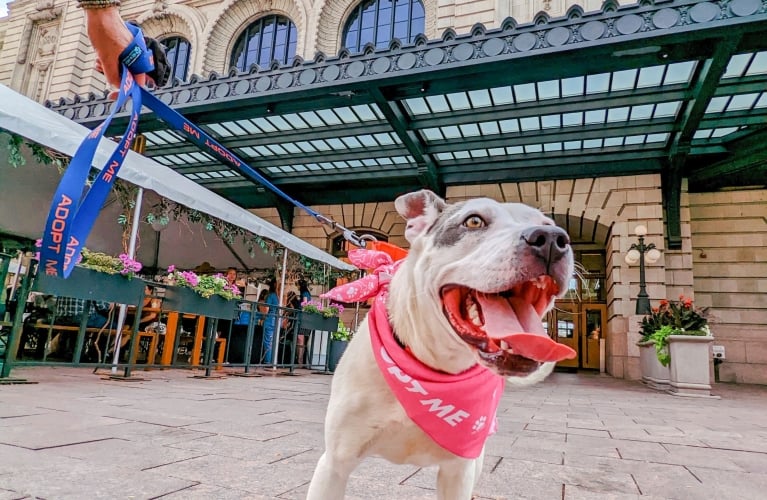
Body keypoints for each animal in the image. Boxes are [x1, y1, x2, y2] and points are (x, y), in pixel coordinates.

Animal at [308, 189, 572, 498]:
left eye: (548, 223)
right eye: (473, 221)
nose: (552, 238)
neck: (433, 366)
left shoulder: (459, 470)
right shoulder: (335, 463)